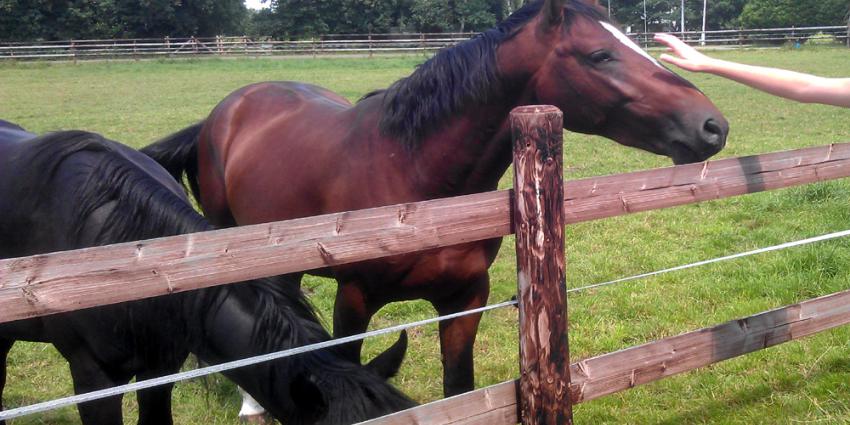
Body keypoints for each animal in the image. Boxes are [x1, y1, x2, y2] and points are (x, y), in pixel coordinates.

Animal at [141, 0, 730, 398]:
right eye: (600, 54)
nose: (712, 126)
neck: (417, 181)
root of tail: (224, 113)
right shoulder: (353, 301)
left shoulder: (464, 300)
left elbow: (458, 388)